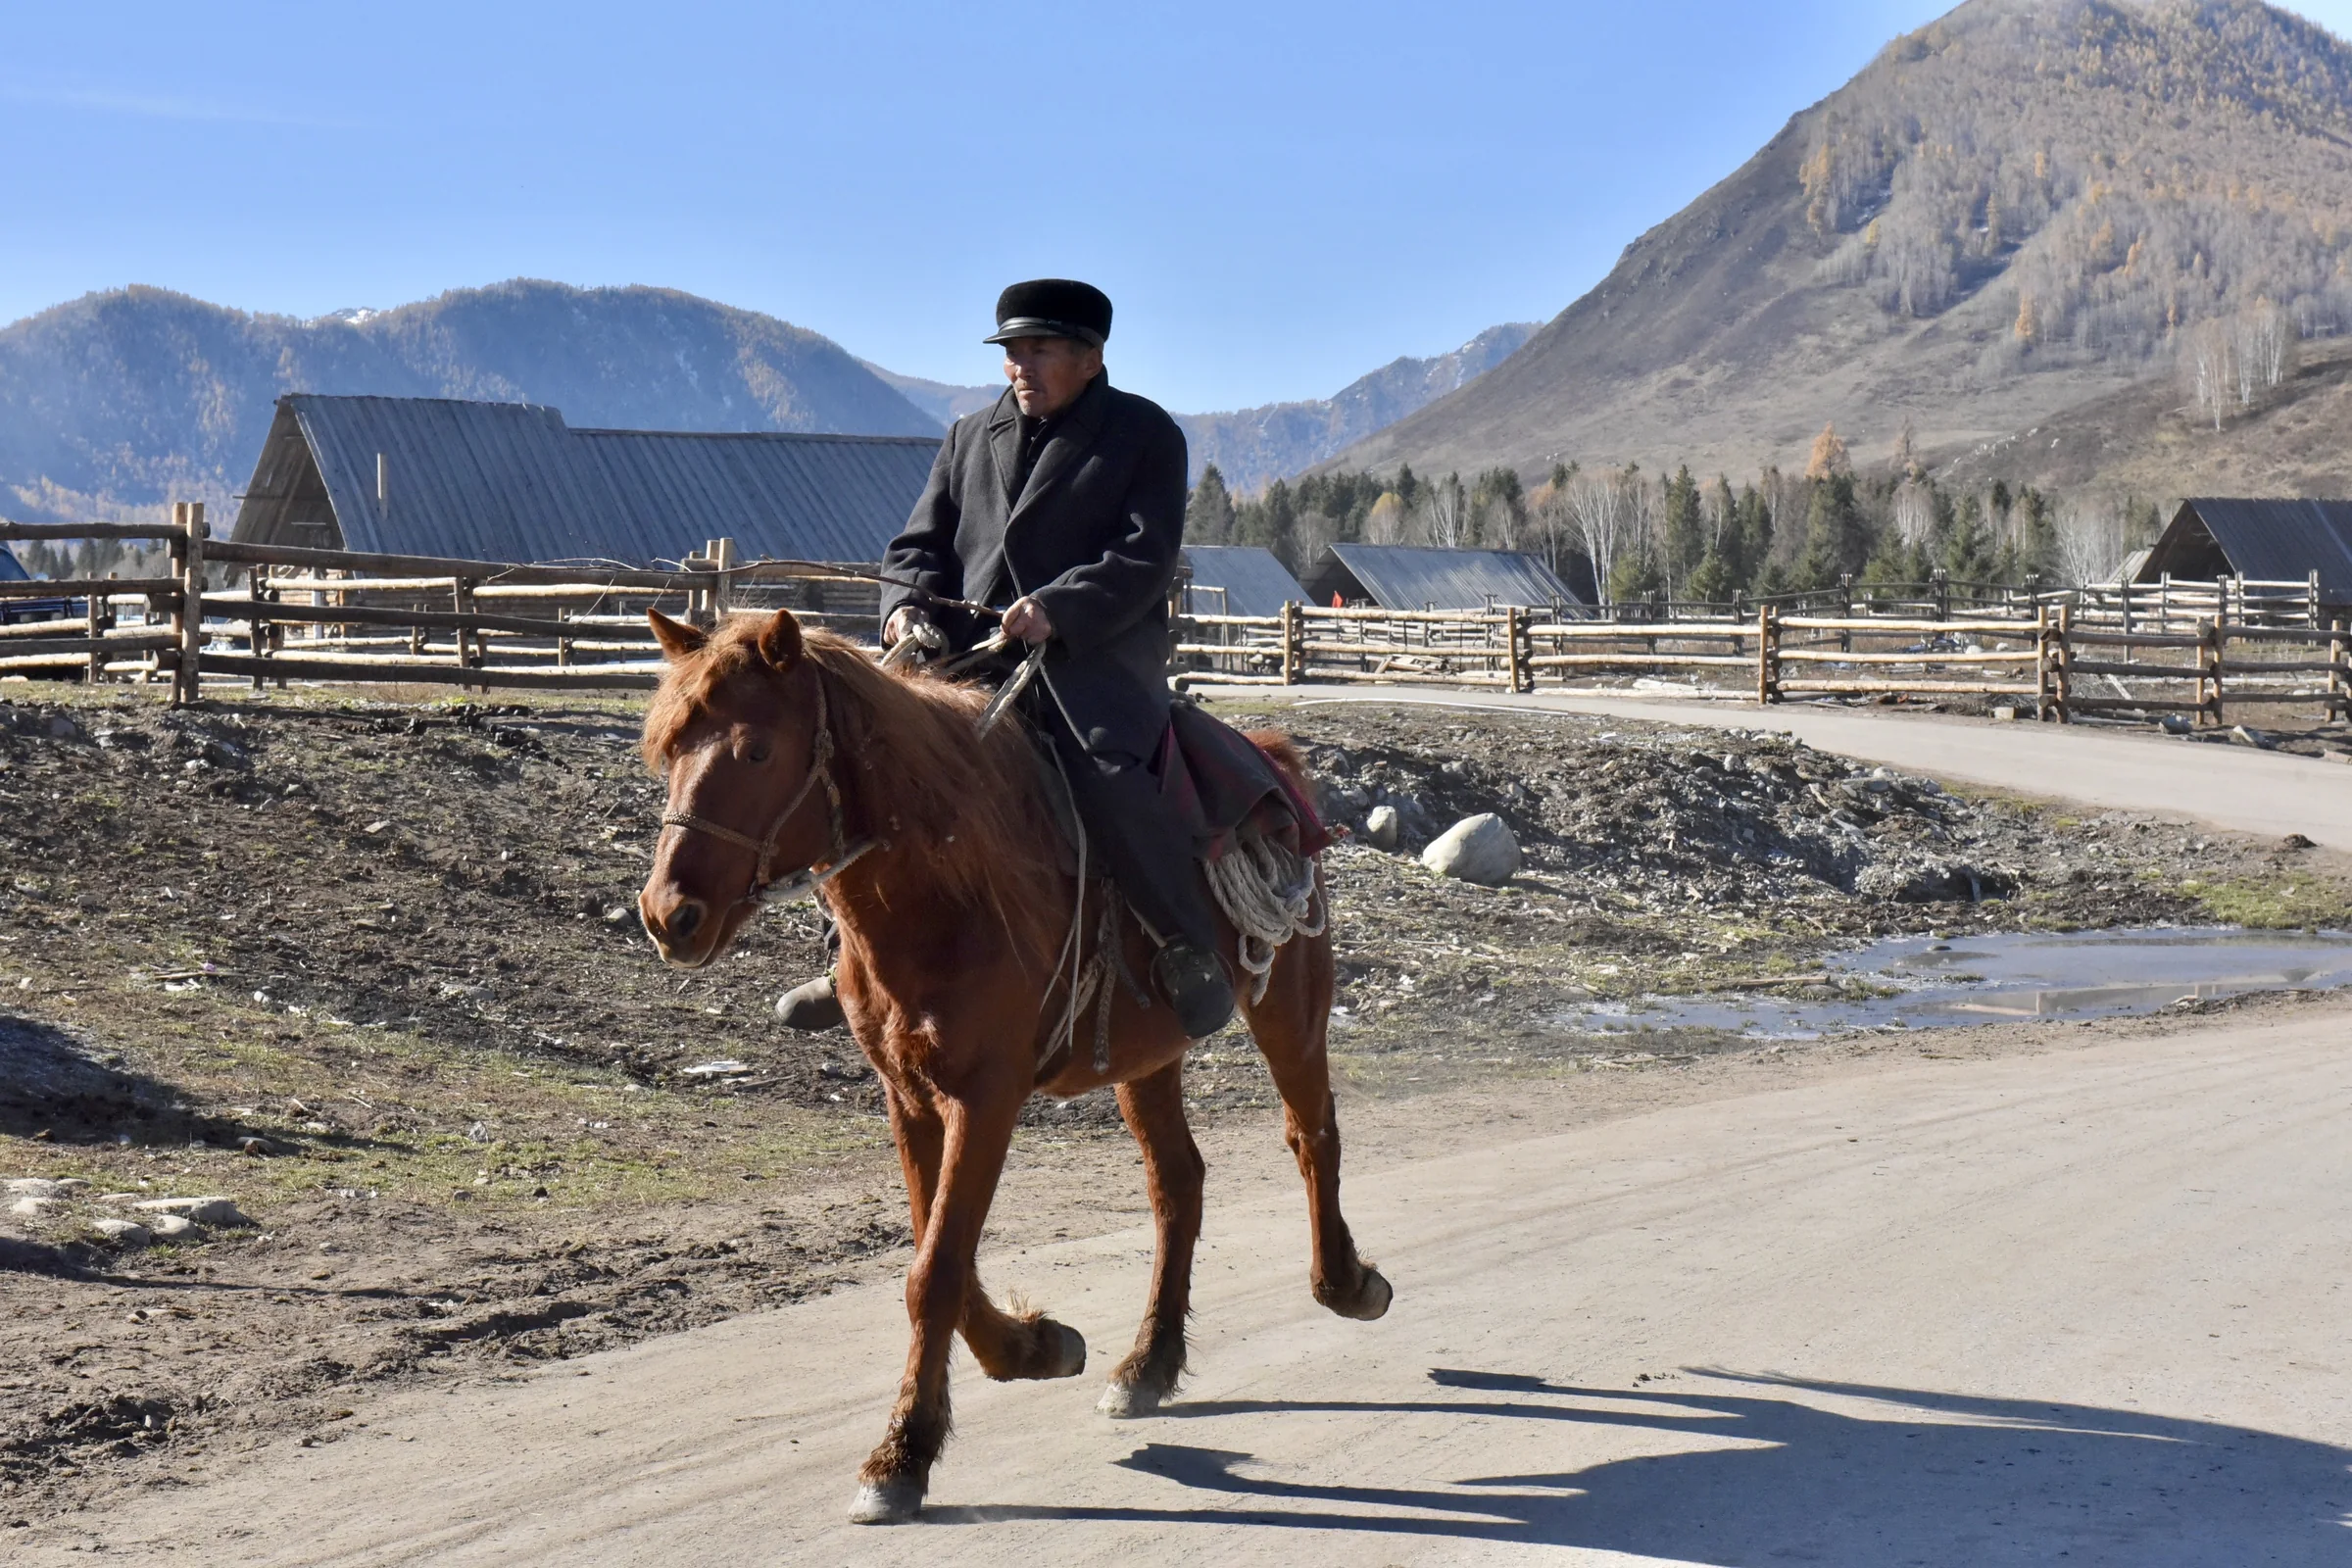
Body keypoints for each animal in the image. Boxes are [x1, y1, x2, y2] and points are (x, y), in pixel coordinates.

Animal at [635, 607, 1390, 1524]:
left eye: (754, 752)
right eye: (669, 751)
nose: (669, 915)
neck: (941, 889)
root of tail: (1273, 760)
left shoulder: (987, 1097)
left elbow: (935, 1271)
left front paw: (901, 1456)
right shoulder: (909, 1097)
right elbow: (944, 1259)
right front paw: (1034, 1347)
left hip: (1289, 1010)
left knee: (1312, 1135)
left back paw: (1346, 1284)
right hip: (1147, 1058)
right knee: (1179, 1184)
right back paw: (1148, 1364)